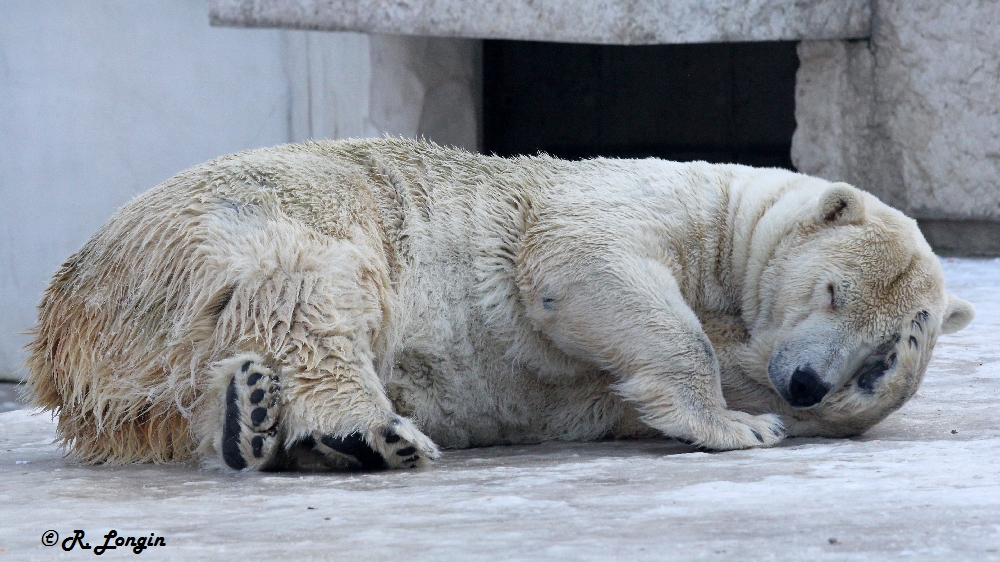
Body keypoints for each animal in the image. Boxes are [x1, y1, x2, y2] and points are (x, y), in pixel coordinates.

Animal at [25, 137, 976, 468]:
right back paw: (364, 431)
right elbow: (576, 261)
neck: (727, 227)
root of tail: (65, 320)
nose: (806, 382)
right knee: (311, 293)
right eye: (832, 289)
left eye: (878, 355)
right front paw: (740, 425)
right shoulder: (643, 200)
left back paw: (259, 423)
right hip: (262, 215)